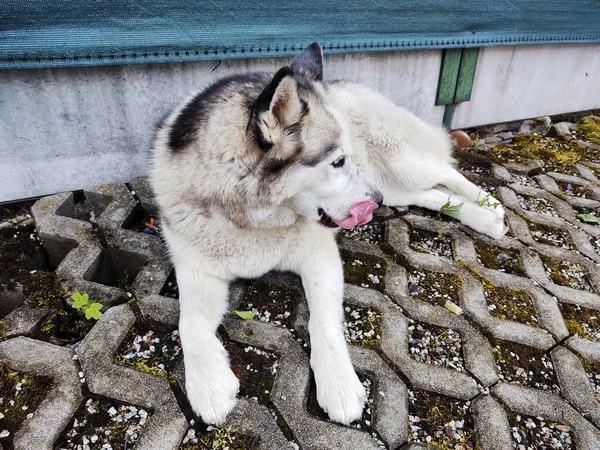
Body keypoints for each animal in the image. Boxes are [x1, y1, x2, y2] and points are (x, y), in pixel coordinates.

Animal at [151, 42, 506, 426]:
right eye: (337, 162)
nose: (375, 201)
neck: (254, 219)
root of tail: (348, 82)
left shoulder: (319, 255)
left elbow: (322, 320)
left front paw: (338, 383)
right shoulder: (196, 269)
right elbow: (189, 321)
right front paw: (208, 383)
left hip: (399, 163)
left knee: (446, 172)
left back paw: (490, 207)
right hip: (392, 185)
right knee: (431, 194)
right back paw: (480, 215)